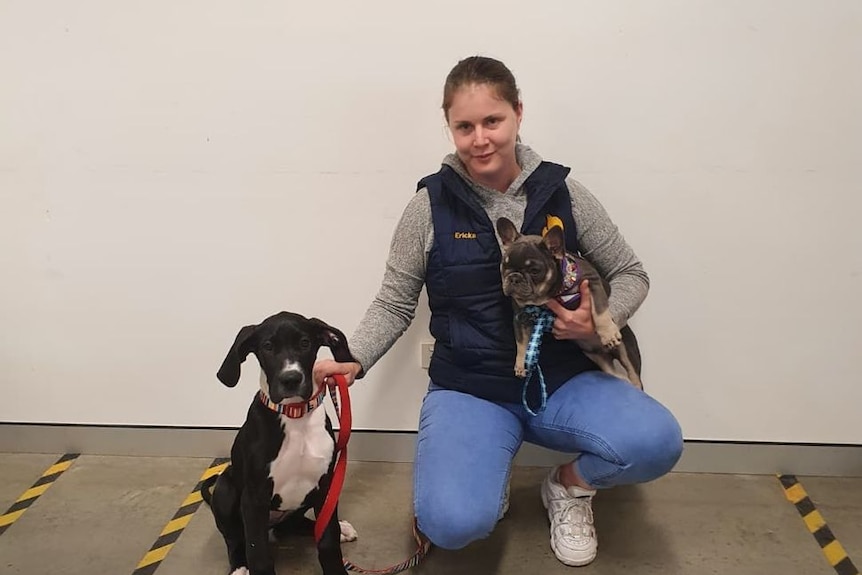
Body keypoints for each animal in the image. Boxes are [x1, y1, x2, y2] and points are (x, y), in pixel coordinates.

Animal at [204, 312, 360, 575]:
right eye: (267, 347)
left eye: (305, 343)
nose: (291, 379)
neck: (295, 415)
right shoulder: (254, 498)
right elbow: (258, 553)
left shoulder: (326, 486)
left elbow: (327, 539)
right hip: (225, 488)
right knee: (234, 538)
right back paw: (239, 567)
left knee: (299, 525)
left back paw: (343, 529)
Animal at [496, 217, 644, 392]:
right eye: (505, 265)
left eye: (534, 271)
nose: (514, 278)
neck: (552, 294)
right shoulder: (521, 317)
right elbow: (521, 341)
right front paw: (520, 364)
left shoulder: (592, 284)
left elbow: (600, 311)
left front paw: (607, 332)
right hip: (594, 355)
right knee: (612, 370)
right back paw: (621, 378)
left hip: (625, 348)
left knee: (634, 375)